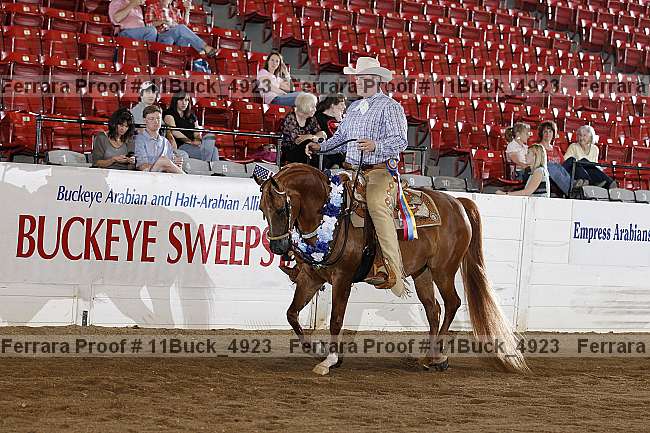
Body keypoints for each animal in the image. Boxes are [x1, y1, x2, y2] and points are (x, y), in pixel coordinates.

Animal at [255, 163, 529, 375]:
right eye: (262, 209)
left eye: (281, 208)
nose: (278, 247)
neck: (331, 216)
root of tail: (458, 203)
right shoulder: (311, 277)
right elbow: (292, 314)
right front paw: (318, 351)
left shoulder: (343, 279)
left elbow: (336, 319)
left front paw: (329, 360)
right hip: (422, 273)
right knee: (434, 310)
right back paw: (431, 358)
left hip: (443, 270)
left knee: (452, 303)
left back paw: (437, 357)